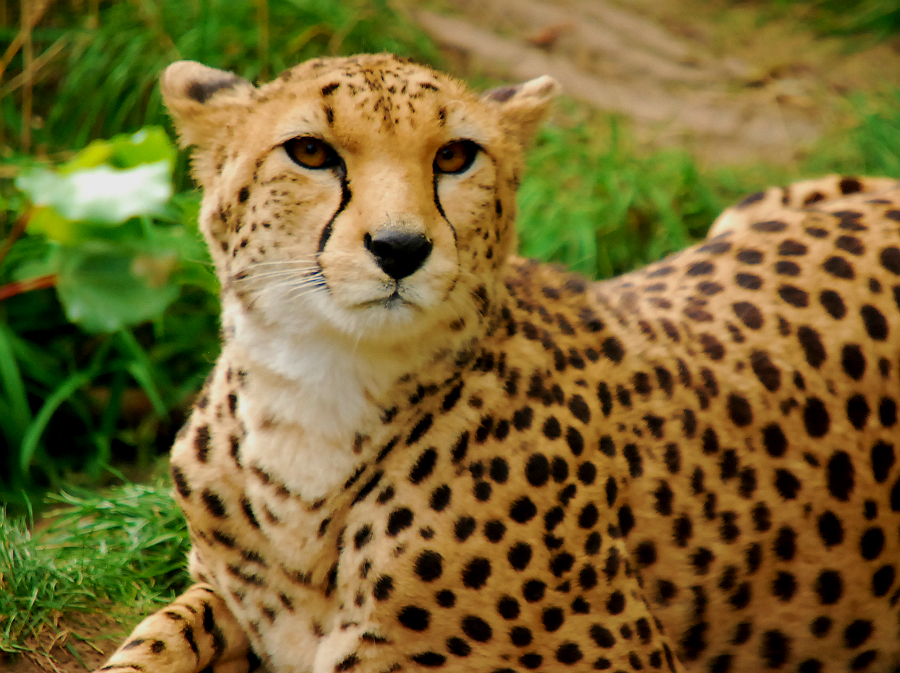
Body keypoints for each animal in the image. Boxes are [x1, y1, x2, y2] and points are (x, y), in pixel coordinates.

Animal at [96, 52, 900, 673]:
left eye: (455, 156)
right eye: (312, 152)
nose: (400, 247)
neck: (318, 395)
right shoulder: (223, 597)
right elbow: (154, 636)